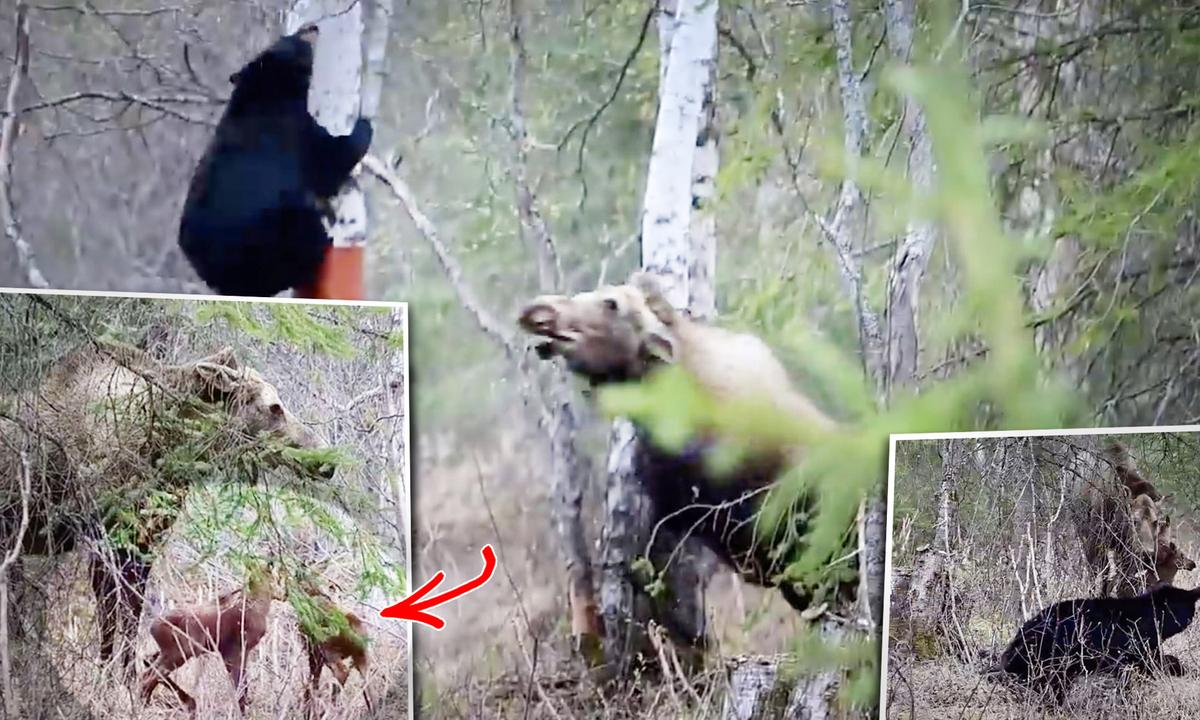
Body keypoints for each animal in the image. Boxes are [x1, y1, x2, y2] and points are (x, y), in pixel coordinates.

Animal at [178, 25, 373, 297]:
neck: (265, 88)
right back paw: (321, 241)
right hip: (269, 234)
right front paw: (364, 126)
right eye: (293, 39)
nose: (312, 27)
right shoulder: (292, 126)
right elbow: (329, 160)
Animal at [992, 582, 1200, 704]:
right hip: (1049, 657)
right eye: (1187, 610)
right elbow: (1147, 665)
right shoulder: (1131, 646)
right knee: (1048, 683)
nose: (1188, 620)